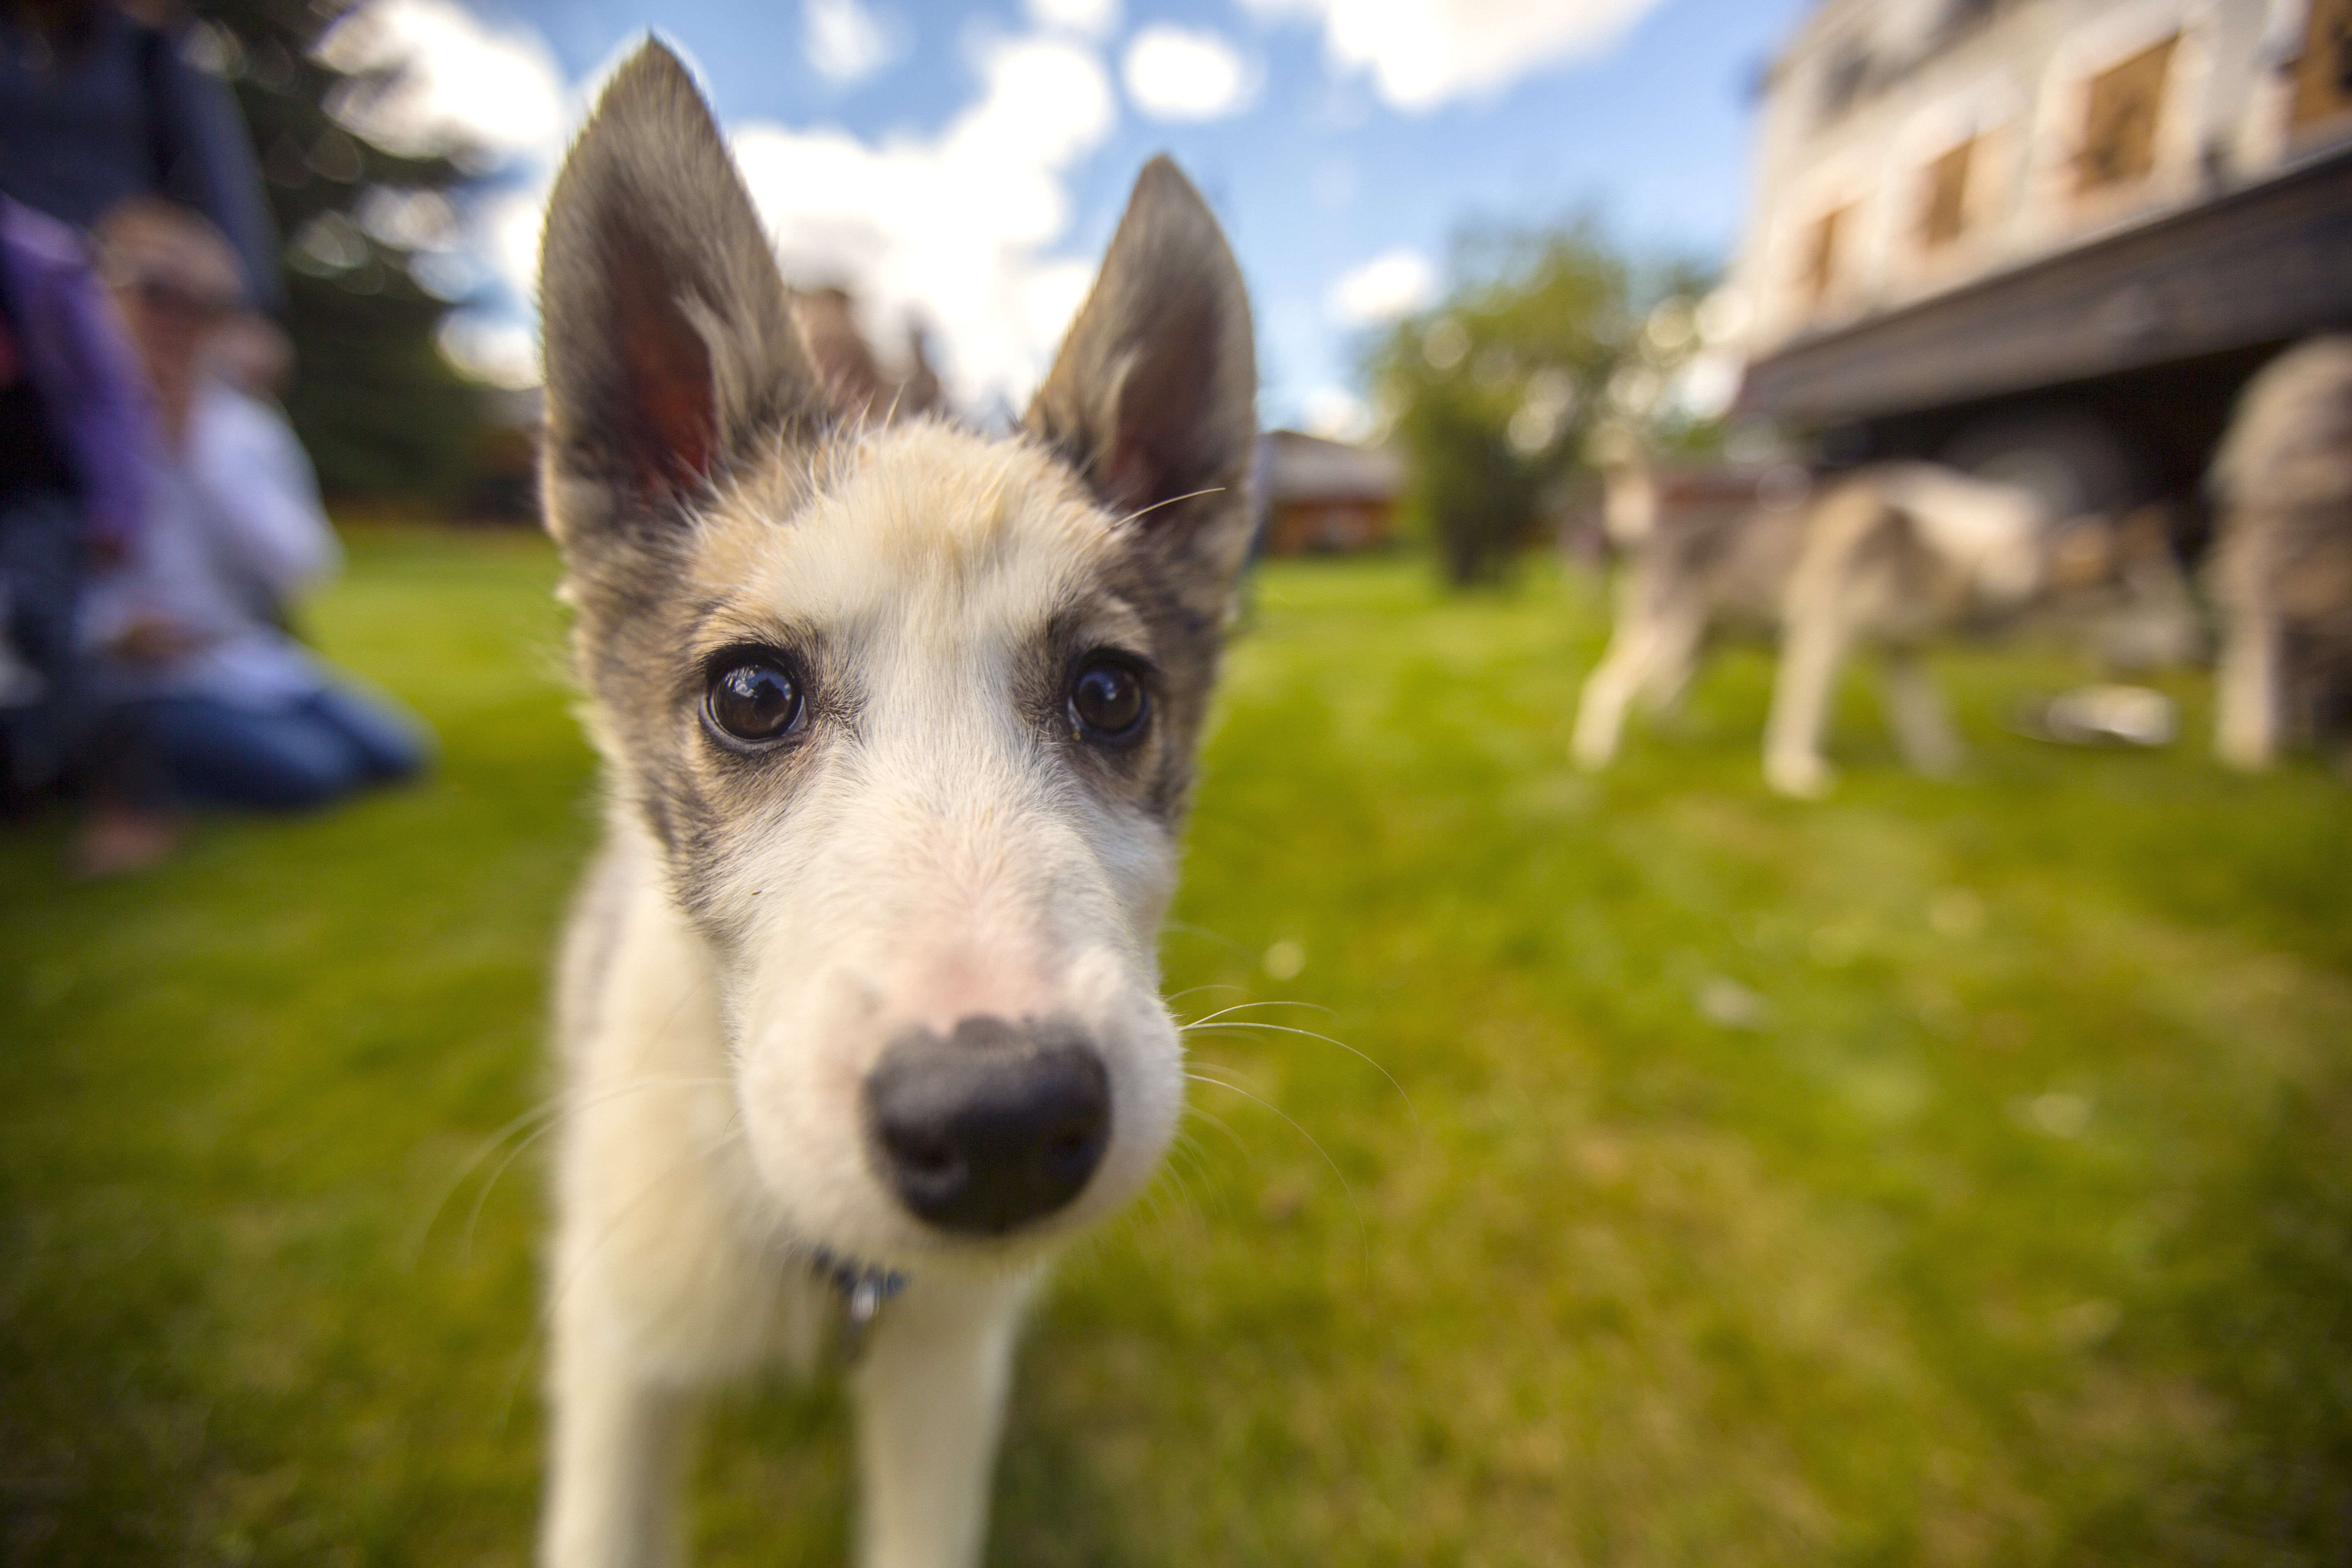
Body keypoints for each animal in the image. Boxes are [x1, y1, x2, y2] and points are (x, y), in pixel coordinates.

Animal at [1571, 454, 2051, 799]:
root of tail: (1658, 531)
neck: (1926, 544)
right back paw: (1597, 754)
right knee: (1607, 687)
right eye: (2030, 550)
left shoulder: (1902, 655)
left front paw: (1947, 768)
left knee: (1662, 696)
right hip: (1668, 641)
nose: (2047, 588)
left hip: (1698, 650)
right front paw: (1794, 775)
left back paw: (1675, 739)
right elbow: (1805, 715)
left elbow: (1927, 721)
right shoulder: (1821, 640)